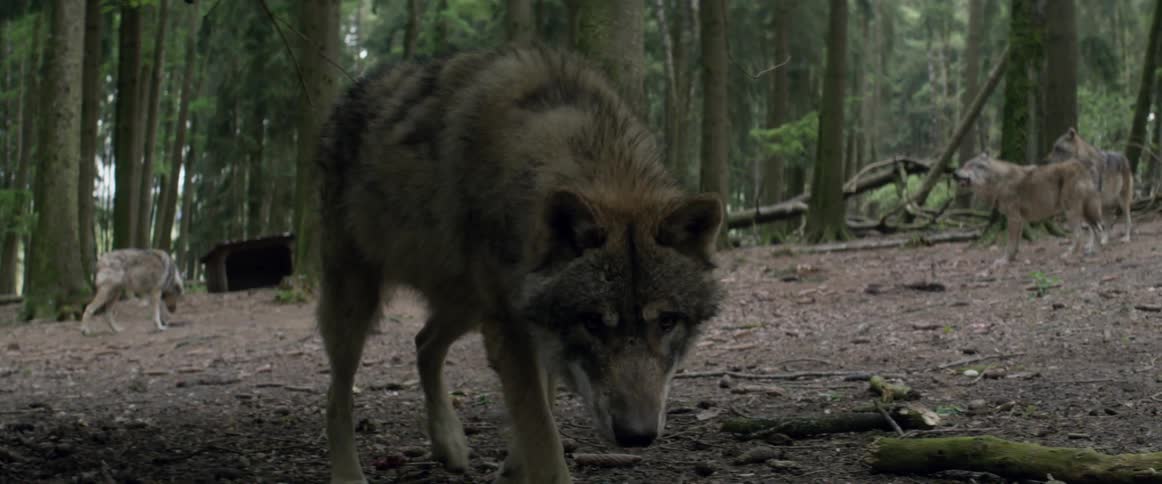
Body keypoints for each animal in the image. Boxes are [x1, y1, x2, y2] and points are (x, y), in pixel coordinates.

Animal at [314, 46, 725, 484]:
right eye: (593, 322)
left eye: (666, 321)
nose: (637, 435)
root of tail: (349, 95)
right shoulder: (511, 329)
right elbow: (542, 432)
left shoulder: (534, 325)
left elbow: (542, 407)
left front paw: (513, 467)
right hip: (358, 303)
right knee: (337, 396)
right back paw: (349, 472)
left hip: (467, 304)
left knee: (423, 343)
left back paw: (449, 443)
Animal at [953, 153, 1105, 267]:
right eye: (964, 165)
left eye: (969, 166)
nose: (954, 173)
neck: (999, 182)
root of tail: (1082, 165)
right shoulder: (1020, 220)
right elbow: (1016, 244)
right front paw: (1012, 259)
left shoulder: (1013, 218)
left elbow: (1009, 244)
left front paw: (1004, 261)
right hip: (1084, 213)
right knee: (1096, 230)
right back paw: (1093, 253)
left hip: (1071, 212)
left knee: (1081, 235)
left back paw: (1070, 255)